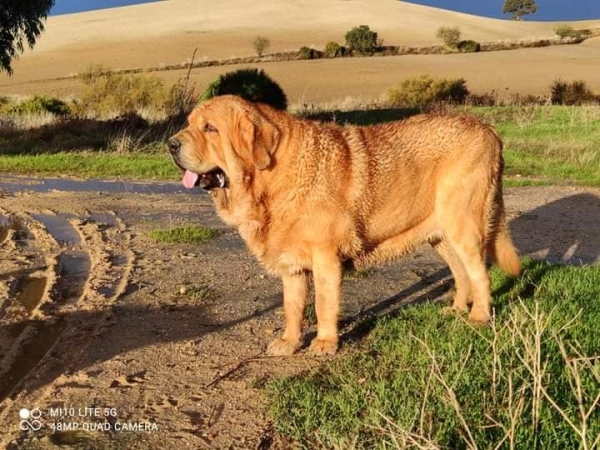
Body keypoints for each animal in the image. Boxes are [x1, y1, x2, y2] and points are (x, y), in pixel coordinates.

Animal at [170, 95, 520, 356]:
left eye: (210, 128)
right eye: (189, 124)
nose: (171, 144)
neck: (271, 178)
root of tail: (490, 130)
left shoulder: (326, 258)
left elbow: (324, 304)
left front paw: (325, 343)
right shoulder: (292, 266)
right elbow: (292, 306)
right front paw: (288, 342)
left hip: (463, 226)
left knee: (480, 273)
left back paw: (478, 317)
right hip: (441, 235)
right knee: (461, 273)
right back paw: (457, 309)